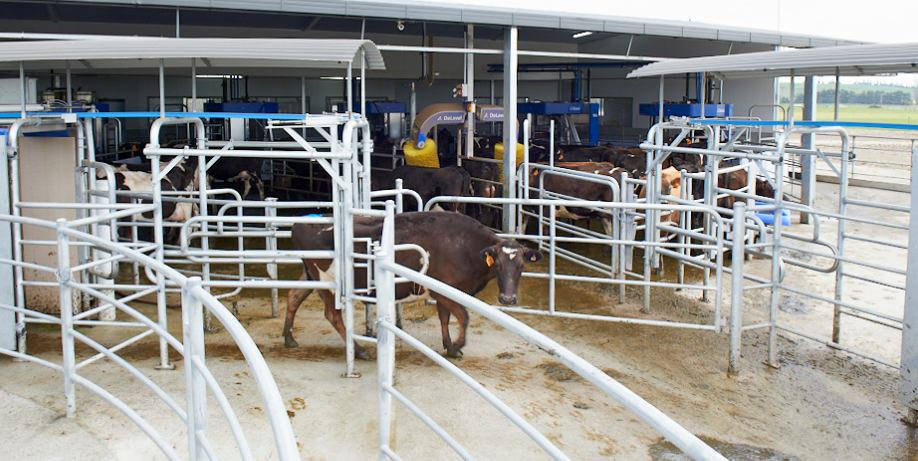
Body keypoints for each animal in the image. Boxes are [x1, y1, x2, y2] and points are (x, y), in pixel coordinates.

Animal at [288, 210, 544, 358]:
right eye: (497, 264)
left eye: (522, 265)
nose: (508, 298)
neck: (465, 246)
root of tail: (302, 223)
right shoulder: (445, 291)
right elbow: (463, 317)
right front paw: (457, 346)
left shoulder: (444, 292)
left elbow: (445, 318)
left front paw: (448, 344)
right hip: (327, 282)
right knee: (332, 315)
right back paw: (359, 351)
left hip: (310, 275)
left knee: (293, 297)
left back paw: (288, 337)